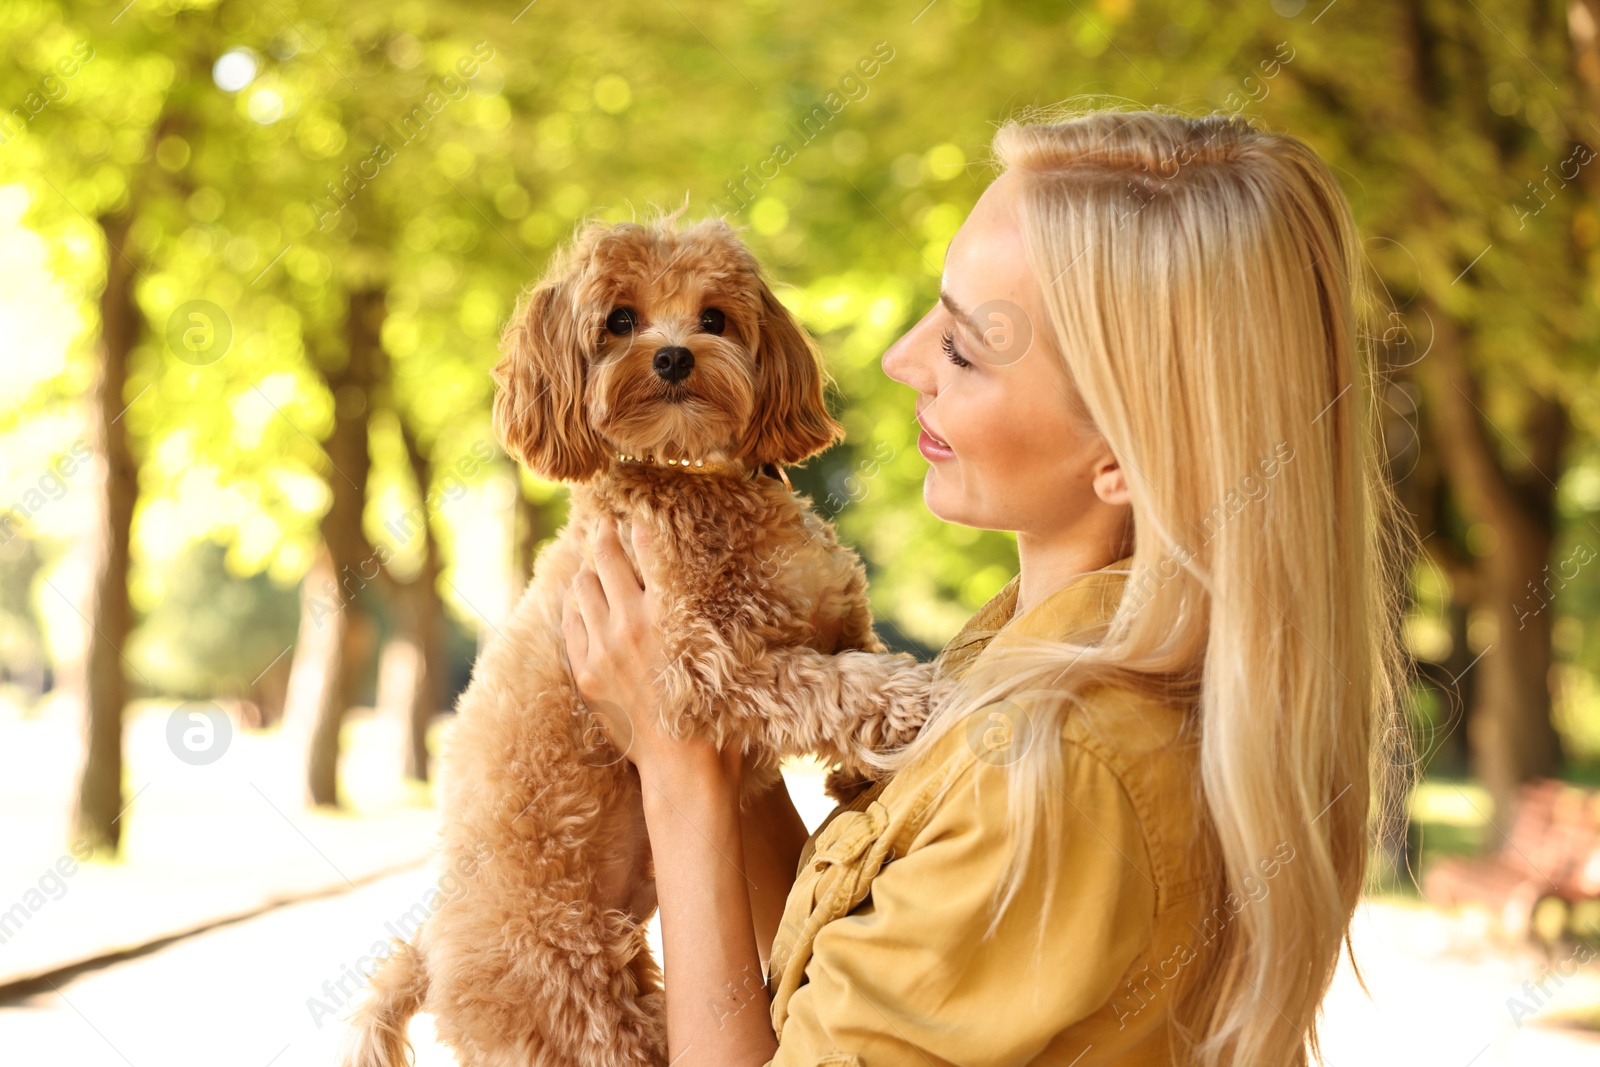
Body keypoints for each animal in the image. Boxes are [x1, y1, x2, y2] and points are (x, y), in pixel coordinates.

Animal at [342, 214, 934, 1067]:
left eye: (714, 316)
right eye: (619, 319)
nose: (674, 354)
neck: (696, 475)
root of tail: (428, 955)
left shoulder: (833, 611)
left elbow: (857, 652)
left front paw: (863, 767)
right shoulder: (701, 665)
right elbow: (833, 682)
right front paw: (916, 698)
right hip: (577, 1002)